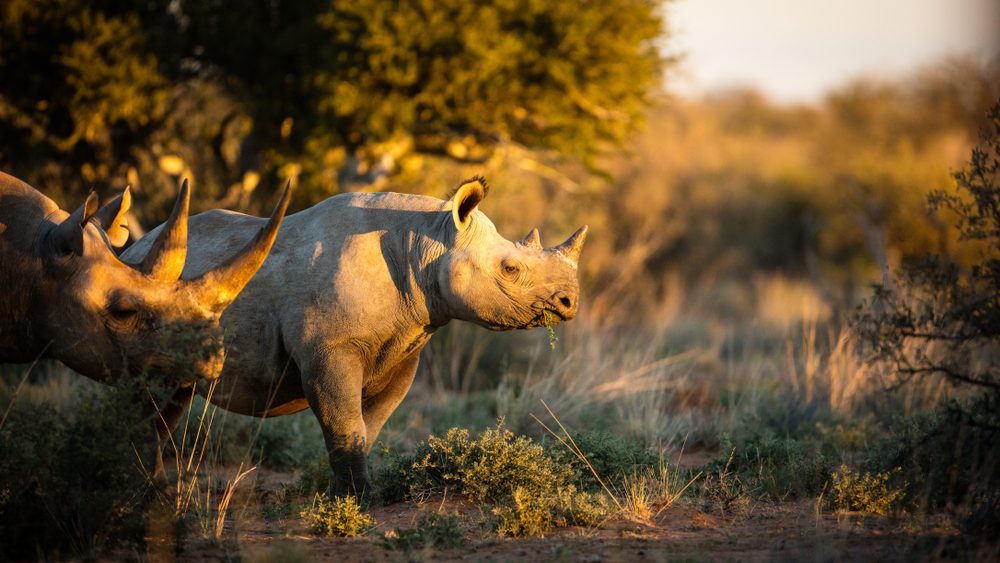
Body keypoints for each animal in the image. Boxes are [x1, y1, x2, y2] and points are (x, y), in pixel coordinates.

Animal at [124, 177, 586, 496]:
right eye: (510, 269)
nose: (569, 302)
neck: (426, 245)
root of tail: (130, 249)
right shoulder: (329, 349)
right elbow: (344, 423)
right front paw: (356, 499)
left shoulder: (404, 349)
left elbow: (369, 424)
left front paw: (354, 492)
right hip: (144, 298)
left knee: (168, 398)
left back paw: (150, 487)